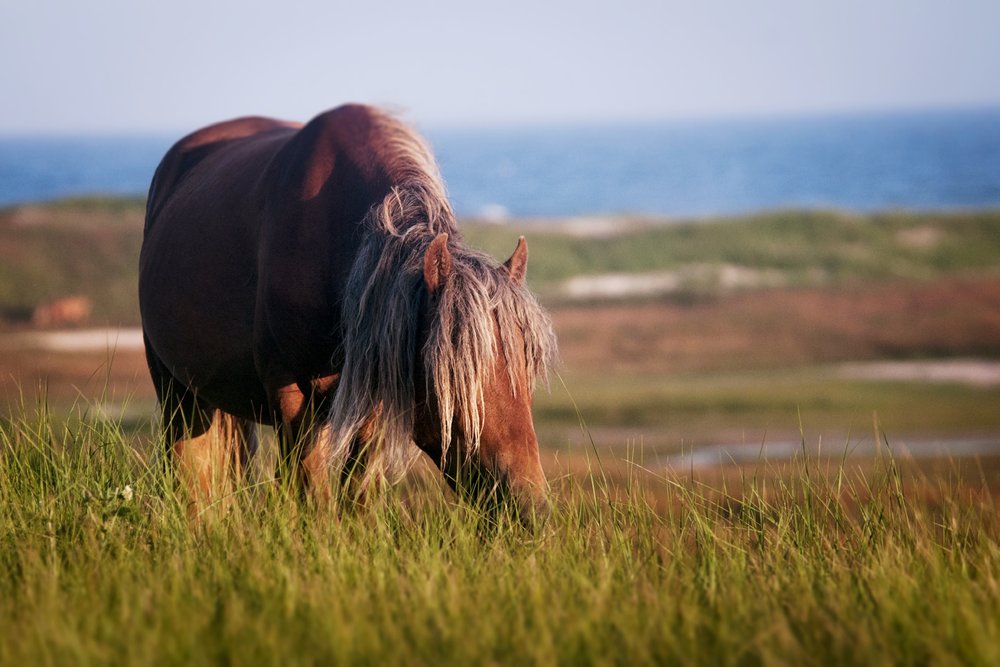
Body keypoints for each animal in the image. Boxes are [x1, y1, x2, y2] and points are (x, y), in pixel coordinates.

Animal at [141, 104, 560, 520]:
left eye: (527, 373)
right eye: (453, 380)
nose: (531, 507)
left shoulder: (373, 397)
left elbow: (357, 490)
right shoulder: (291, 399)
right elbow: (310, 493)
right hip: (176, 392)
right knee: (189, 470)